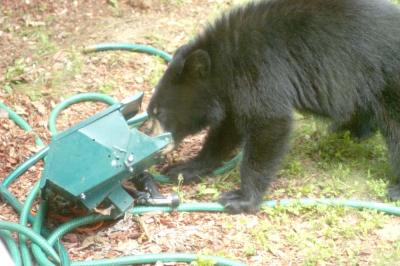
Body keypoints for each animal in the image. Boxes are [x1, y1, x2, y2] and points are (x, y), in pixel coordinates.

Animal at [147, 0, 400, 213]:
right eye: (150, 111)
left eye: (158, 112)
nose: (150, 140)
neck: (225, 59)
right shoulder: (234, 91)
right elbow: (227, 129)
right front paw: (185, 168)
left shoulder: (260, 69)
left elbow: (269, 123)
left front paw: (240, 198)